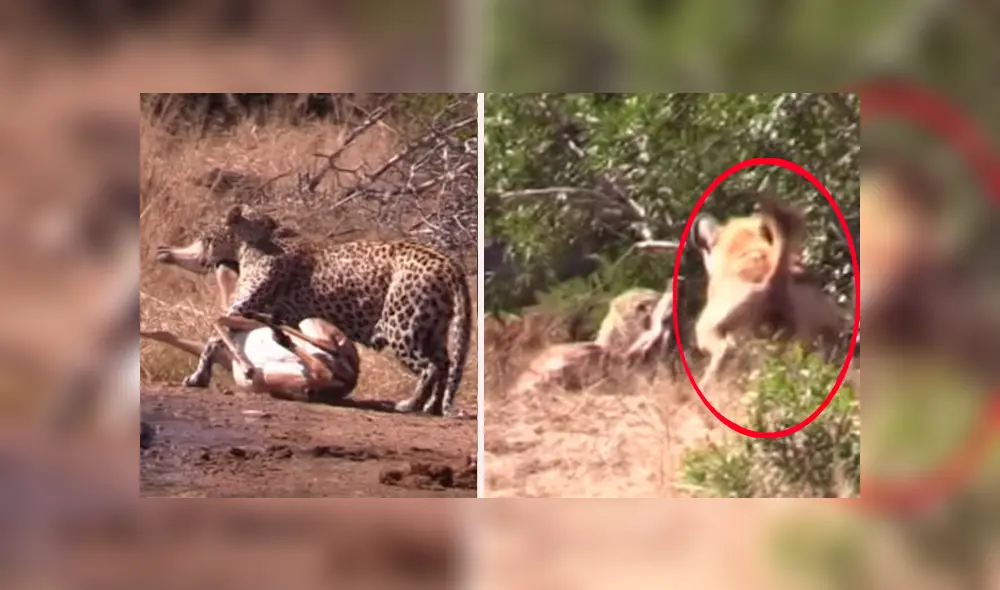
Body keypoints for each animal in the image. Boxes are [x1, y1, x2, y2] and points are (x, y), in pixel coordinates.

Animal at [154, 204, 473, 417]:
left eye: (206, 237)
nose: (165, 251)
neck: (251, 241)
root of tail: (450, 264)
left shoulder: (242, 308)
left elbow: (212, 335)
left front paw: (197, 377)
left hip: (403, 329)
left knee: (430, 367)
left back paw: (411, 404)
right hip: (431, 329)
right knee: (445, 364)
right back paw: (432, 406)